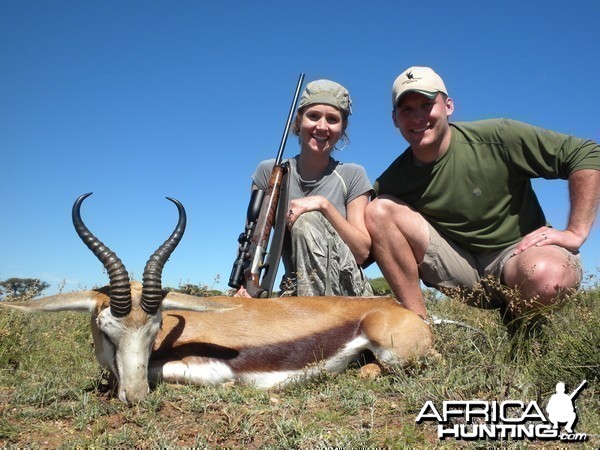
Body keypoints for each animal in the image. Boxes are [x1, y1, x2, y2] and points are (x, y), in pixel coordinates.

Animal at [0, 193, 432, 404]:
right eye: (106, 330)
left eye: (155, 328)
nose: (136, 397)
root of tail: (392, 308)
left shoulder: (208, 369)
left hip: (396, 349)